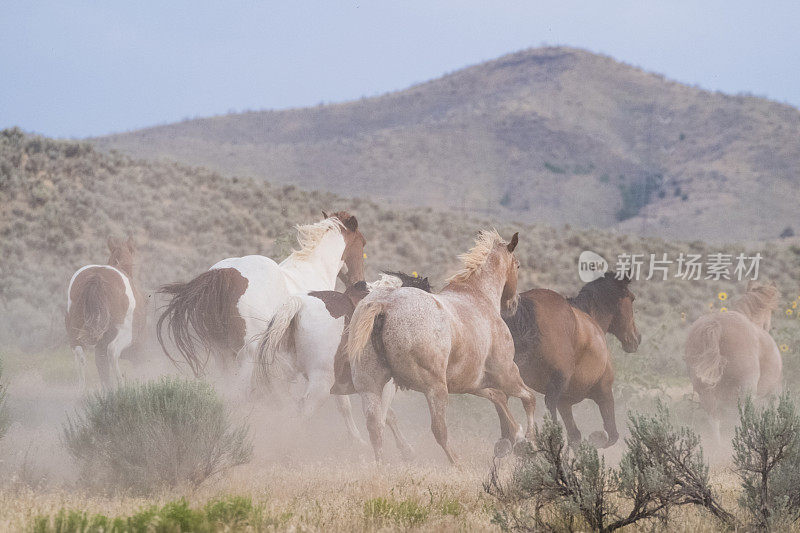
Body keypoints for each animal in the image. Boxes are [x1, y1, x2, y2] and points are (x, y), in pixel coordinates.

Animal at [65, 236, 147, 386]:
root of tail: (97, 276)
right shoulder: (139, 348)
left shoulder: (99, 349)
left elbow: (103, 373)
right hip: (125, 335)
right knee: (113, 352)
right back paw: (122, 384)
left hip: (74, 333)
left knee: (79, 354)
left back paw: (81, 389)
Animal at [155, 211, 366, 390]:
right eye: (363, 244)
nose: (359, 282)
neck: (313, 269)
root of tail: (225, 273)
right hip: (246, 356)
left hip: (222, 353)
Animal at [346, 231, 536, 464]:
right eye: (517, 265)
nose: (513, 304)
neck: (478, 296)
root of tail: (384, 304)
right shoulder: (506, 373)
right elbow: (528, 398)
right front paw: (528, 440)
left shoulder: (472, 382)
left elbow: (498, 397)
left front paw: (515, 437)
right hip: (434, 388)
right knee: (439, 430)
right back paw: (458, 463)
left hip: (370, 386)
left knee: (375, 427)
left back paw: (382, 465)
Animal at [506, 272, 644, 446]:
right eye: (632, 298)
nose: (637, 338)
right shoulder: (604, 392)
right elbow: (612, 435)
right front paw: (596, 438)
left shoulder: (565, 403)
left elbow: (575, 436)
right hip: (555, 385)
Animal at [680, 280, 780, 442]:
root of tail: (716, 324)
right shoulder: (774, 392)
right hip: (744, 393)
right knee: (739, 419)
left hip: (706, 393)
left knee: (714, 421)